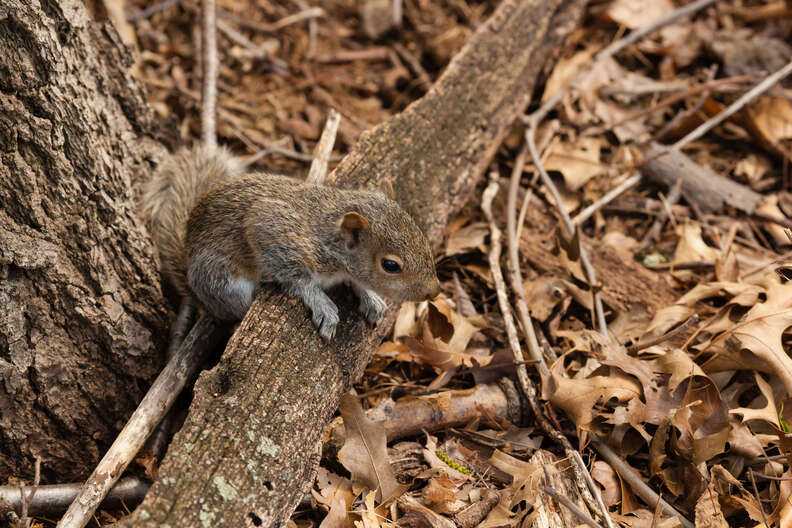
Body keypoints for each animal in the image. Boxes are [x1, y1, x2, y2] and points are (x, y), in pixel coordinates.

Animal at [141, 146, 440, 340]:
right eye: (390, 265)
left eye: (420, 234)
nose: (434, 291)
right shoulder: (273, 230)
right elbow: (297, 278)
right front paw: (322, 303)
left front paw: (369, 295)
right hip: (223, 283)